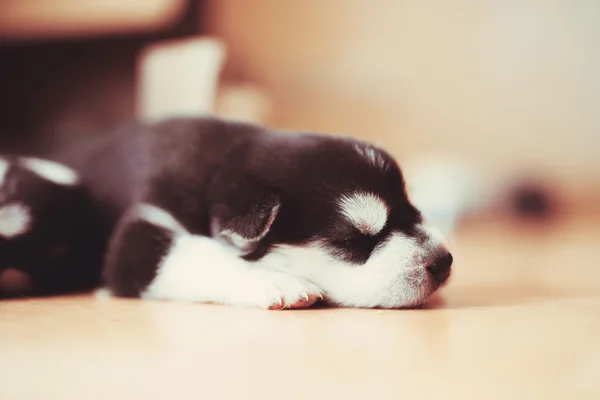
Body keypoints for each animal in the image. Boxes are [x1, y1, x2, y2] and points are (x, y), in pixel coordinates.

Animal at [0, 117, 452, 308]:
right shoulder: (139, 235)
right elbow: (201, 254)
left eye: (414, 209)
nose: (445, 261)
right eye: (355, 239)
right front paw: (277, 282)